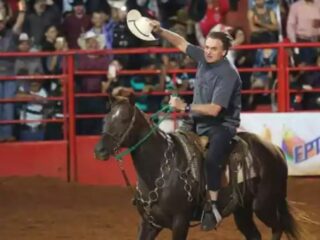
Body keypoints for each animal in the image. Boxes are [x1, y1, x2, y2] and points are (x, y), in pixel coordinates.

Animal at [94, 96, 300, 240]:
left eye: (124, 118)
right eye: (106, 119)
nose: (99, 150)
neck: (160, 168)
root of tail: (275, 150)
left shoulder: (180, 222)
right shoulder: (149, 224)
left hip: (263, 205)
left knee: (278, 227)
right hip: (242, 210)